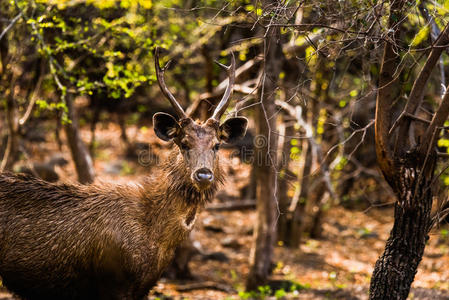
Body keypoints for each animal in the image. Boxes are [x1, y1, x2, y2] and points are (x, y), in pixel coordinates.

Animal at [0, 48, 247, 298]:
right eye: (183, 143)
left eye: (217, 145)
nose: (203, 175)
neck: (156, 239)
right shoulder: (114, 283)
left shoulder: (143, 286)